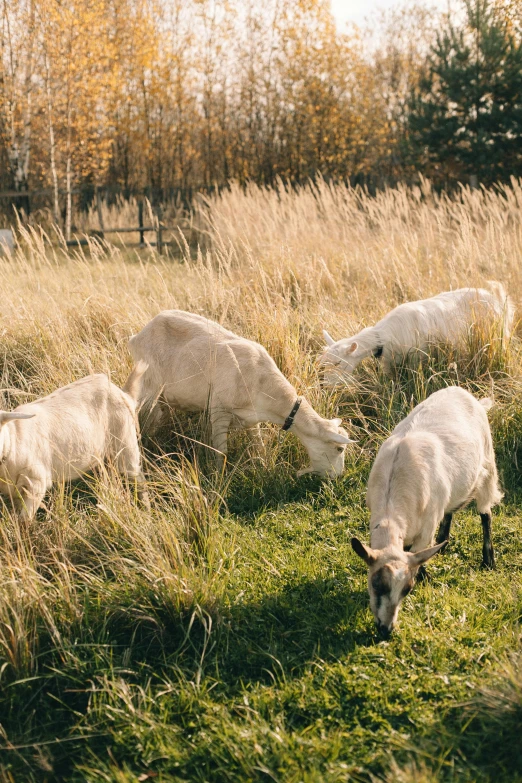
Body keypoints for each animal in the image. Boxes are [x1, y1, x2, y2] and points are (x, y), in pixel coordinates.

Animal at [0, 362, 148, 520]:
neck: (12, 442)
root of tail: (124, 393)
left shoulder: (37, 482)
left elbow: (24, 520)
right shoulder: (15, 491)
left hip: (125, 442)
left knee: (138, 477)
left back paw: (146, 509)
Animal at [128, 310, 352, 472]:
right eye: (339, 448)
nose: (338, 477)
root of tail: (137, 336)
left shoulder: (252, 418)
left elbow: (259, 445)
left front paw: (262, 467)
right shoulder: (218, 411)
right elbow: (222, 452)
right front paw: (219, 478)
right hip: (148, 385)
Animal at [318, 284, 510, 384]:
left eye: (337, 363)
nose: (326, 386)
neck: (382, 337)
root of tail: (496, 297)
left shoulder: (416, 358)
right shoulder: (390, 363)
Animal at [350, 386, 500, 636]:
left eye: (407, 589)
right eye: (377, 584)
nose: (386, 629)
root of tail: (467, 394)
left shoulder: (425, 529)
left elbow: (419, 556)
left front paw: (425, 578)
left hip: (487, 468)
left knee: (485, 514)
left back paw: (488, 561)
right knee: (450, 511)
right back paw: (444, 542)